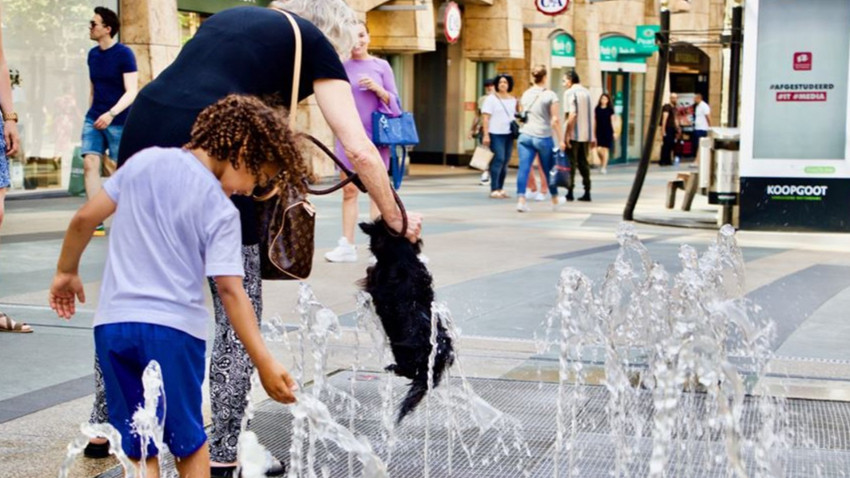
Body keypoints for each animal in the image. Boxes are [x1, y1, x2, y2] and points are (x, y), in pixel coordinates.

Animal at [358, 218, 454, 424]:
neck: (403, 258)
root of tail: (441, 349)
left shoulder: (374, 279)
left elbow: (370, 274)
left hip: (401, 350)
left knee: (409, 371)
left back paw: (392, 368)